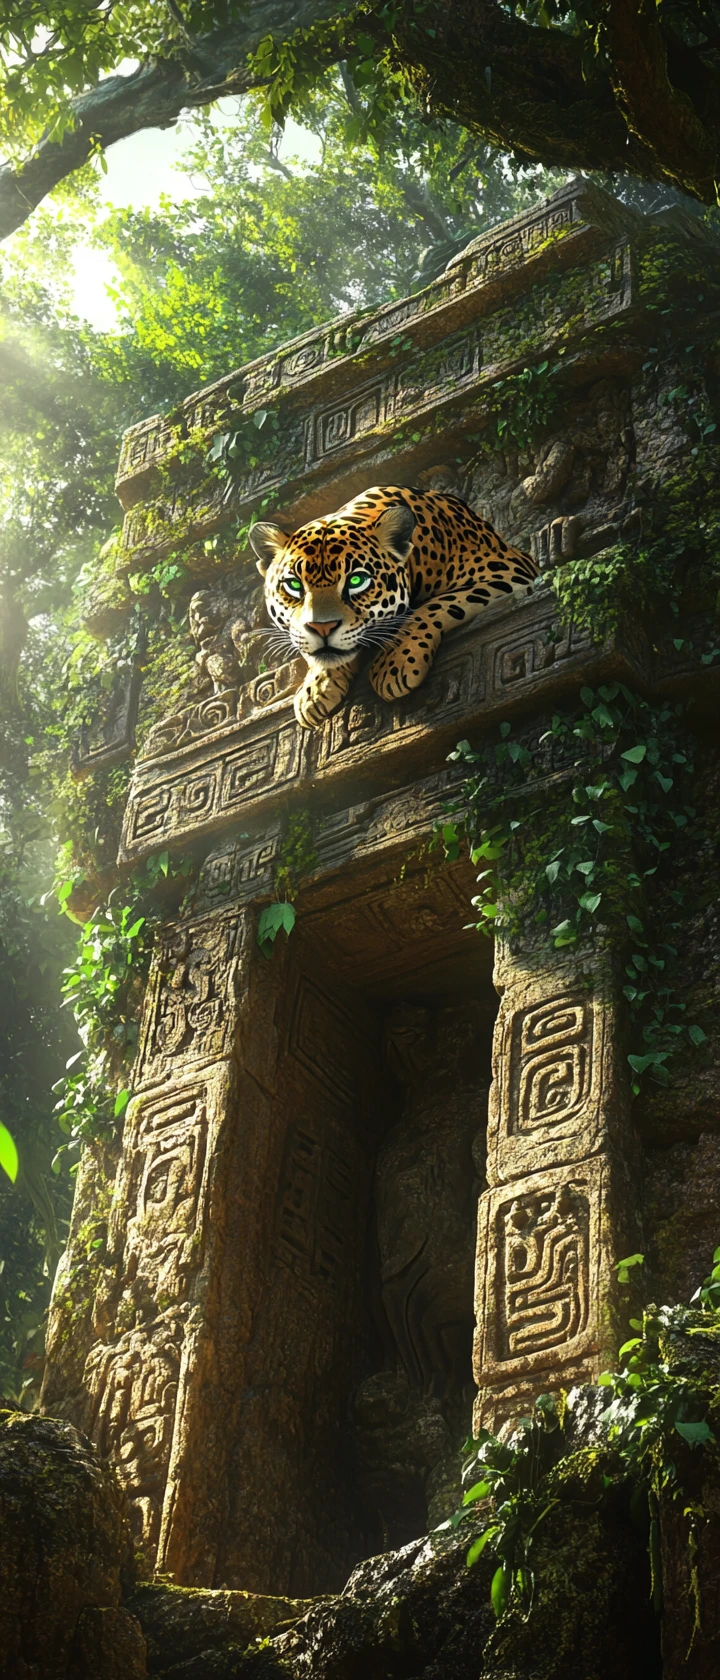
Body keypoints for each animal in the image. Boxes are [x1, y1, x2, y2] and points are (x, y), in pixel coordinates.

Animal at [249, 485, 538, 729]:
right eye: (294, 585)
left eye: (356, 580)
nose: (322, 628)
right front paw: (315, 690)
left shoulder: (511, 571)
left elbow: (434, 606)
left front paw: (395, 663)